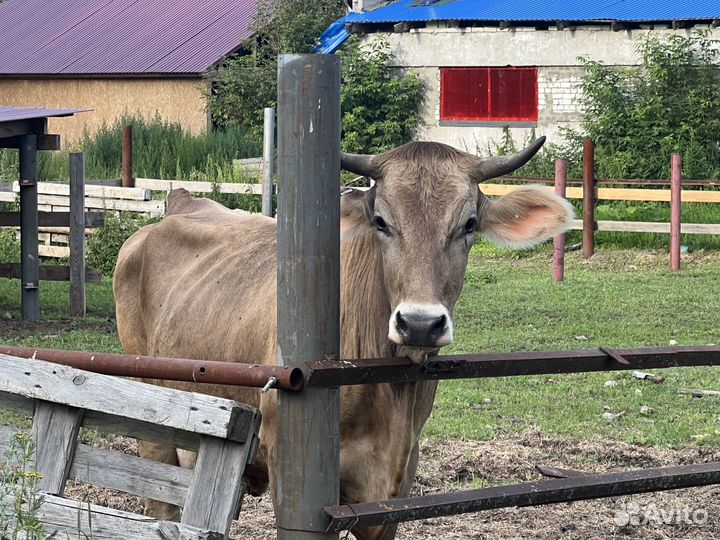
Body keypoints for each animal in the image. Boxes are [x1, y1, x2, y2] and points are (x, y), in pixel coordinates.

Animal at [113, 137, 573, 540]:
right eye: (381, 222)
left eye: (469, 224)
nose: (419, 323)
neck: (390, 392)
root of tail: (180, 204)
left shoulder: (395, 487)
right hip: (153, 426)